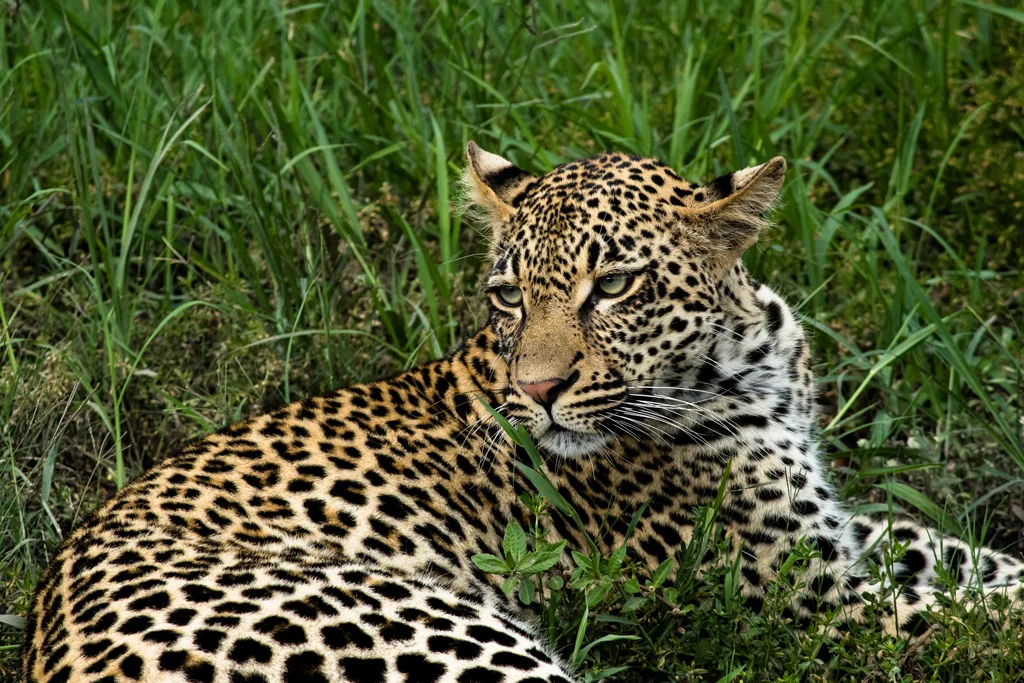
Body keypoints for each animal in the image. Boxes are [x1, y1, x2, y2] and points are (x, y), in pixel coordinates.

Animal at [23, 142, 1024, 682]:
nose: (537, 393)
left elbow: (971, 562)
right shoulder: (797, 597)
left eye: (614, 285)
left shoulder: (834, 537)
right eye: (508, 295)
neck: (750, 359)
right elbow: (969, 616)